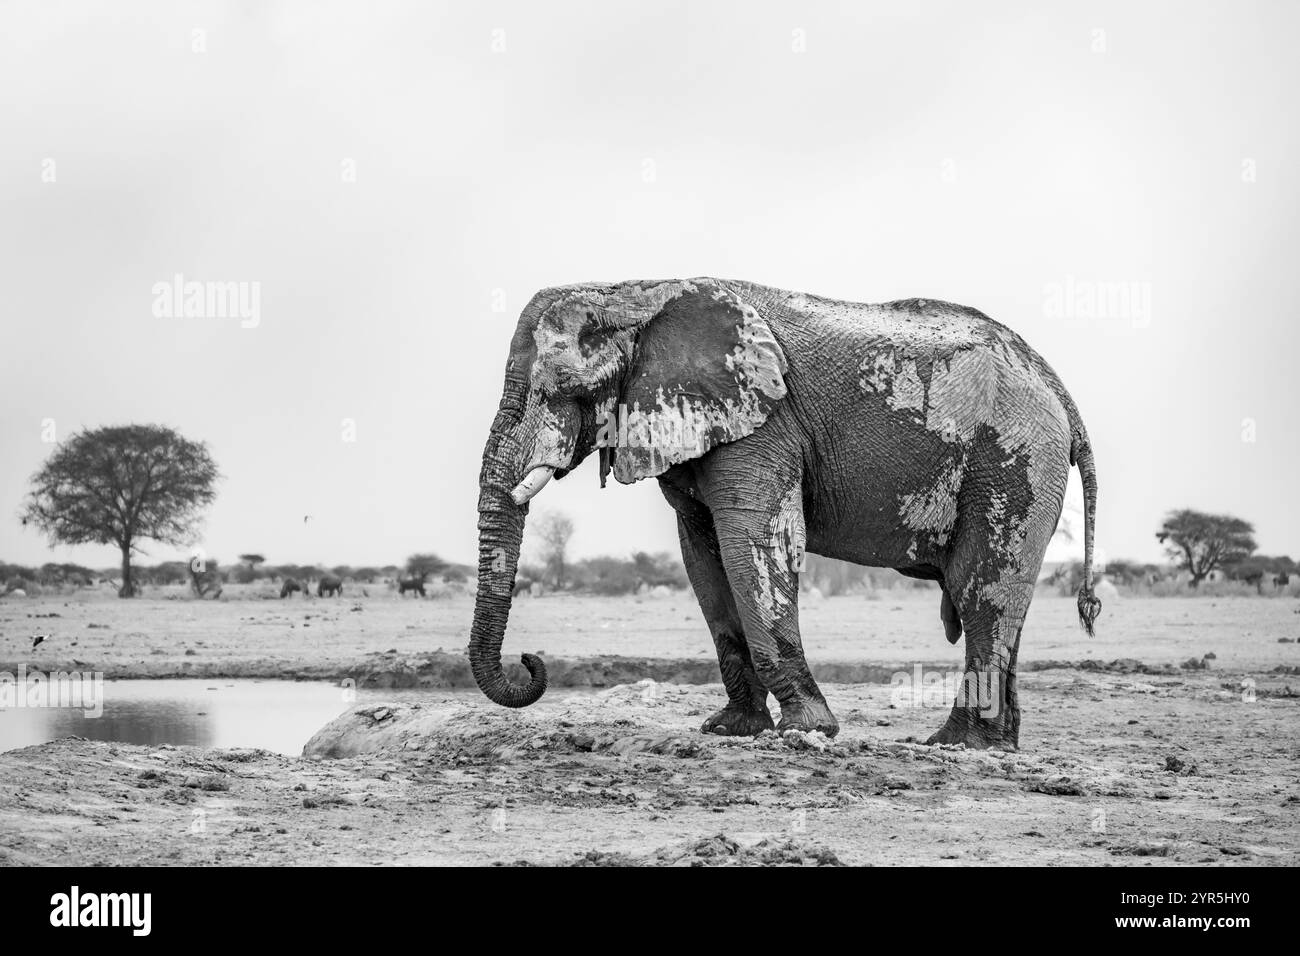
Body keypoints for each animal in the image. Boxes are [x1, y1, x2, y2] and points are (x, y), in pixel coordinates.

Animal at [468, 278, 1100, 750]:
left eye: (560, 388)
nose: (530, 661)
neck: (634, 292)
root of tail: (1058, 388)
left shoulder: (764, 422)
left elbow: (753, 540)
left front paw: (807, 730)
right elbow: (704, 559)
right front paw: (731, 730)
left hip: (1015, 461)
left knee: (981, 592)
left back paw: (956, 744)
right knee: (999, 602)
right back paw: (994, 745)